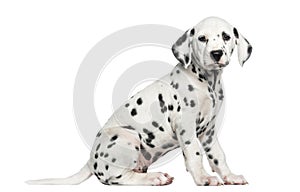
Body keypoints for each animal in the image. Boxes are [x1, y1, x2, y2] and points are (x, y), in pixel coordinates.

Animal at [27, 16, 253, 186]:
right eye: (202, 38)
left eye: (226, 36)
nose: (216, 54)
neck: (206, 81)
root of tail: (91, 161)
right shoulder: (186, 127)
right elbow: (195, 153)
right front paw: (204, 178)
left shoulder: (209, 131)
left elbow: (218, 155)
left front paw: (229, 176)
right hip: (126, 137)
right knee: (118, 178)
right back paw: (155, 178)